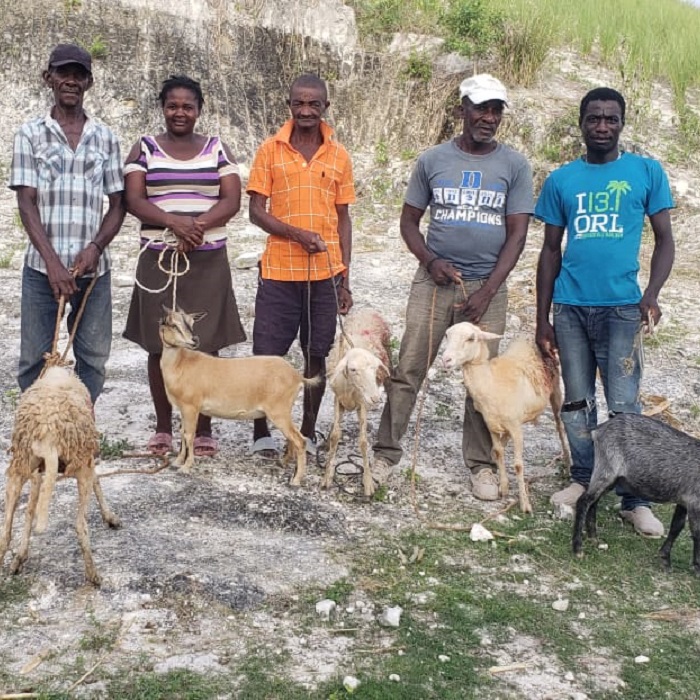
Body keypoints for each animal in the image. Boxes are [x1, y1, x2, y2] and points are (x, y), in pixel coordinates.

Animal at [0, 366, 121, 584]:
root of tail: (47, 429)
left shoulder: (37, 474)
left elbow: (29, 511)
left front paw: (20, 557)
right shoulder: (87, 458)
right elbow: (97, 480)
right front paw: (110, 517)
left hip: (20, 465)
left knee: (4, 535)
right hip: (79, 466)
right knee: (80, 525)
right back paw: (93, 575)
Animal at [159, 308, 318, 484]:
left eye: (192, 323)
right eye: (173, 324)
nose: (194, 340)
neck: (181, 365)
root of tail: (297, 376)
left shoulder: (191, 406)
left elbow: (189, 435)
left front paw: (186, 467)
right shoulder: (183, 407)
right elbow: (182, 432)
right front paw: (177, 461)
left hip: (279, 410)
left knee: (300, 440)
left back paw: (295, 480)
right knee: (292, 438)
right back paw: (283, 463)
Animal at [322, 308, 392, 498]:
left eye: (375, 370)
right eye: (353, 369)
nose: (375, 398)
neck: (350, 389)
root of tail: (369, 309)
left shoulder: (362, 405)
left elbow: (363, 442)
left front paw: (368, 483)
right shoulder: (338, 400)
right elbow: (335, 435)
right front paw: (327, 476)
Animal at [446, 322, 572, 516]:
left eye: (471, 338)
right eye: (446, 335)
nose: (446, 359)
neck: (491, 381)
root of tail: (529, 337)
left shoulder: (516, 427)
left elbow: (518, 465)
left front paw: (525, 504)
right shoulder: (490, 424)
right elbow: (498, 451)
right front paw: (503, 488)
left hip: (556, 391)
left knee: (560, 427)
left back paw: (568, 464)